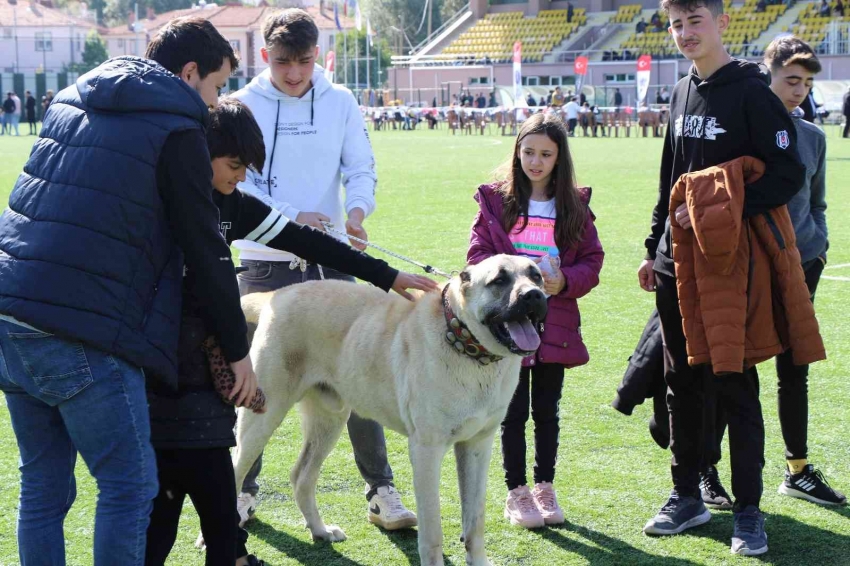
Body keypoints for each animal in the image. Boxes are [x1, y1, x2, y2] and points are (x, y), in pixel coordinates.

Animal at [235, 258, 548, 566]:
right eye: (499, 280)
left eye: (536, 276)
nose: (534, 295)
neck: (465, 344)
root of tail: (277, 295)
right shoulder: (426, 450)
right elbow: (433, 530)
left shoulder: (478, 445)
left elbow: (475, 520)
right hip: (263, 416)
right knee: (237, 470)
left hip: (329, 420)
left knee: (302, 476)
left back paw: (321, 531)